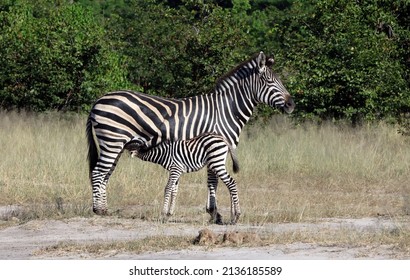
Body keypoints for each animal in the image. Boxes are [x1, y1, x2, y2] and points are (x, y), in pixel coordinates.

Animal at [86, 52, 294, 219]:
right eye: (270, 82)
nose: (292, 105)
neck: (225, 111)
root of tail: (99, 100)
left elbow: (213, 181)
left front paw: (213, 212)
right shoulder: (215, 145)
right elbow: (213, 181)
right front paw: (214, 213)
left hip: (116, 144)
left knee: (105, 174)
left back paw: (105, 208)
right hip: (112, 141)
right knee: (98, 173)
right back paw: (99, 210)